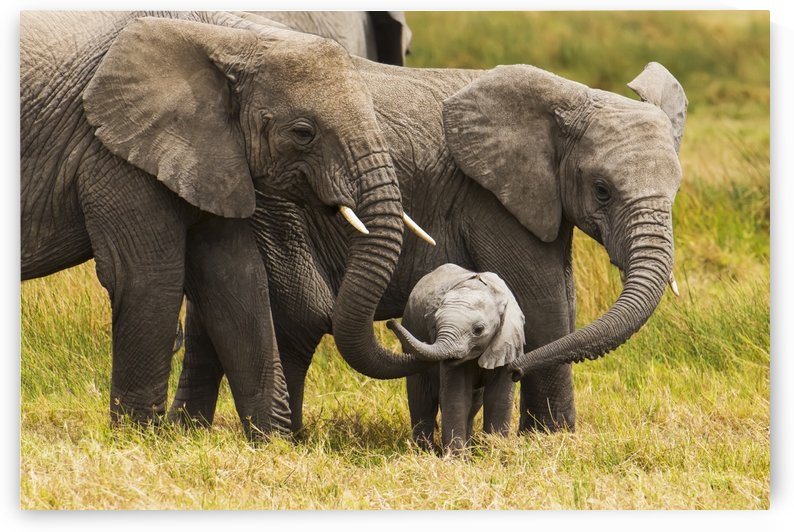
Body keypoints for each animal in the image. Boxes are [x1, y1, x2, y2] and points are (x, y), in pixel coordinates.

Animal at [21, 11, 431, 439]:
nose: (399, 325)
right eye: (303, 133)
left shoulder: (212, 153)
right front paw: (139, 438)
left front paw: (274, 442)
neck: (230, 37)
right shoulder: (114, 149)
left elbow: (235, 280)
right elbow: (146, 277)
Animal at [387, 264, 525, 453]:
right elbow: (456, 398)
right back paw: (424, 451)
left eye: (478, 330)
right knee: (422, 400)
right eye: (434, 326)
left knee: (473, 403)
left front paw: (495, 454)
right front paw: (456, 459)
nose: (389, 322)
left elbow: (498, 398)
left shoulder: (507, 340)